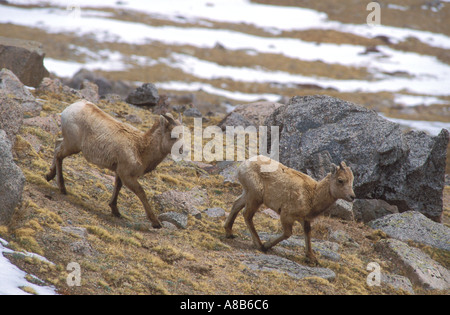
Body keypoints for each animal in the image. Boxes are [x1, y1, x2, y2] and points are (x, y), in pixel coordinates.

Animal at [44, 100, 181, 228]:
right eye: (173, 135)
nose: (182, 150)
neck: (141, 148)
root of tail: (69, 109)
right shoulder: (127, 175)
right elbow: (141, 192)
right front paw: (156, 223)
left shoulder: (119, 173)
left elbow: (118, 187)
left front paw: (115, 211)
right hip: (72, 146)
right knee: (59, 154)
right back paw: (62, 188)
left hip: (68, 143)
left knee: (57, 145)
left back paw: (49, 176)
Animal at [225, 157, 356, 266]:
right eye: (340, 180)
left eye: (352, 180)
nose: (352, 196)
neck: (312, 196)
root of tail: (244, 164)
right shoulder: (286, 215)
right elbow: (288, 233)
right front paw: (267, 245)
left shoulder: (305, 220)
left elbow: (307, 233)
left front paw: (312, 258)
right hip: (255, 196)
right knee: (247, 214)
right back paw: (259, 244)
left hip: (248, 193)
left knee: (236, 205)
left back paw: (229, 232)